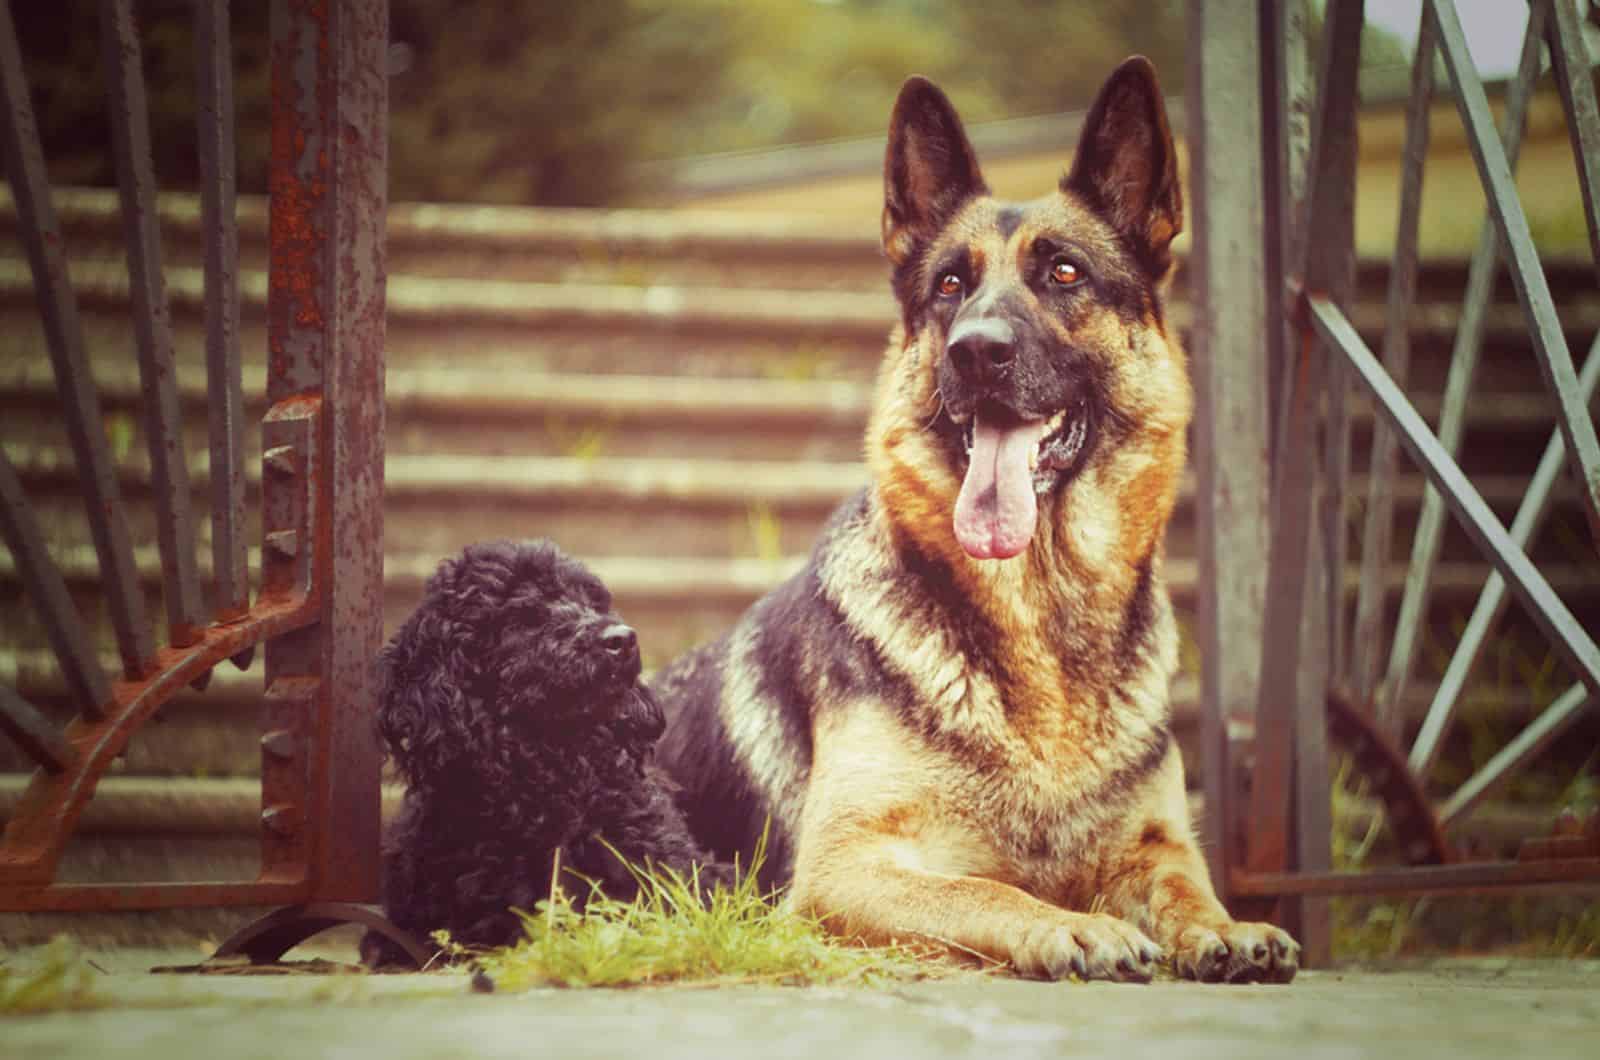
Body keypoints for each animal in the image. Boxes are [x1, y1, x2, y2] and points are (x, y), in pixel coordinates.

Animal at [649, 58, 1299, 986]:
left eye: (1064, 273)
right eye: (950, 286)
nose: (976, 350)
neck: (1042, 617)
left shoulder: (1155, 845)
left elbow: (1187, 887)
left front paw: (1226, 928)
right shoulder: (845, 869)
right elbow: (984, 890)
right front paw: (1074, 928)